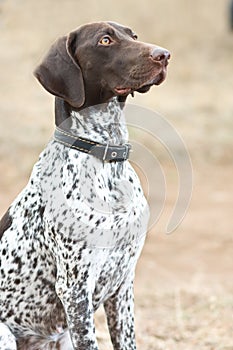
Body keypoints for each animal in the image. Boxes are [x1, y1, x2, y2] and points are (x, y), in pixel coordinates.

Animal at [0, 22, 169, 350]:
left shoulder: (123, 285)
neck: (106, 161)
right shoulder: (75, 288)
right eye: (105, 40)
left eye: (133, 36)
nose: (164, 54)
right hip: (6, 334)